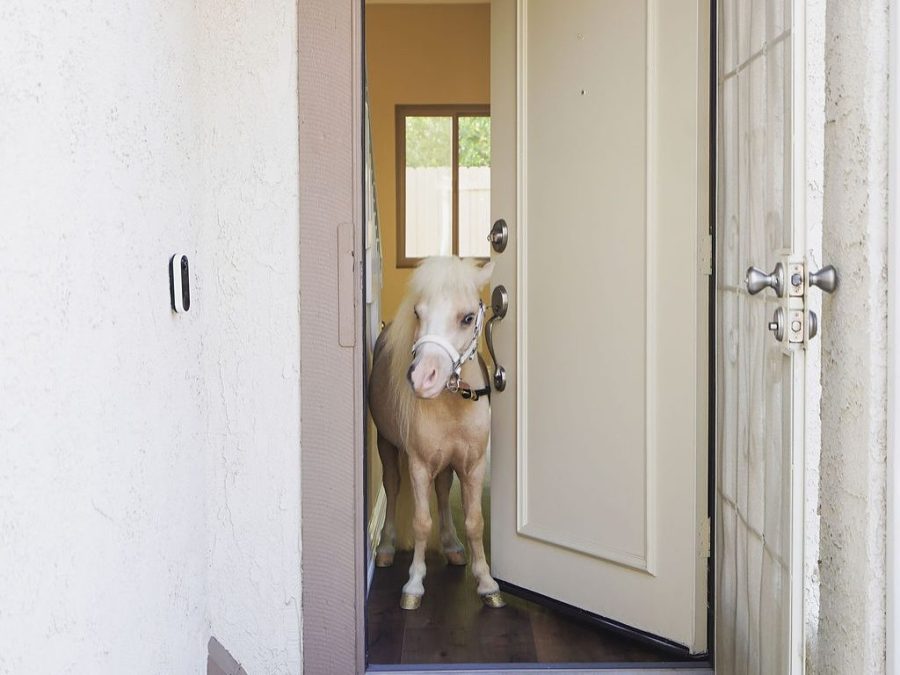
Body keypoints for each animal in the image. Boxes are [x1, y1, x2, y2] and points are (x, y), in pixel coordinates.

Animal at [368, 256, 505, 610]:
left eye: (467, 318)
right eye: (418, 313)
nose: (421, 378)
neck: (453, 402)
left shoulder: (472, 465)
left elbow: (475, 522)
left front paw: (486, 581)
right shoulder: (418, 465)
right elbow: (420, 522)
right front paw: (414, 584)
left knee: (443, 491)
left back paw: (452, 545)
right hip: (387, 445)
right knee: (392, 486)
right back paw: (386, 547)